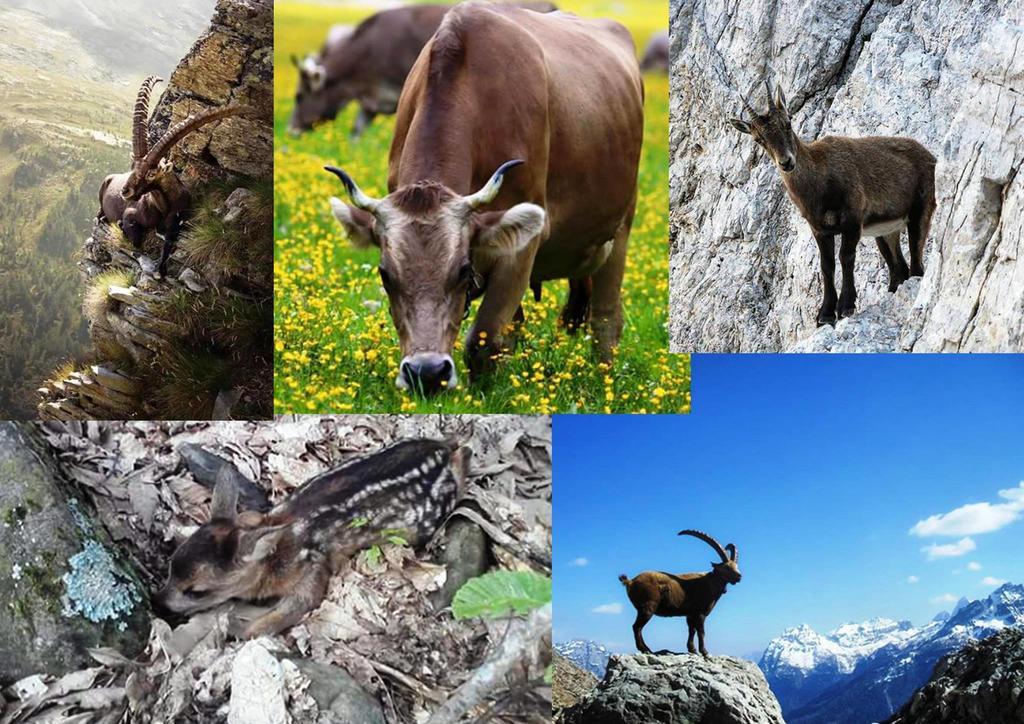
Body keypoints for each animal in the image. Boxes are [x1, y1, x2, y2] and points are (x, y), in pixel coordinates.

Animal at [327, 1, 643, 397]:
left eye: (463, 270)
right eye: (385, 274)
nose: (427, 372)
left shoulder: (523, 246)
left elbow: (484, 341)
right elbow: (502, 339)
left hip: (619, 229)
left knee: (606, 321)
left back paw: (604, 384)